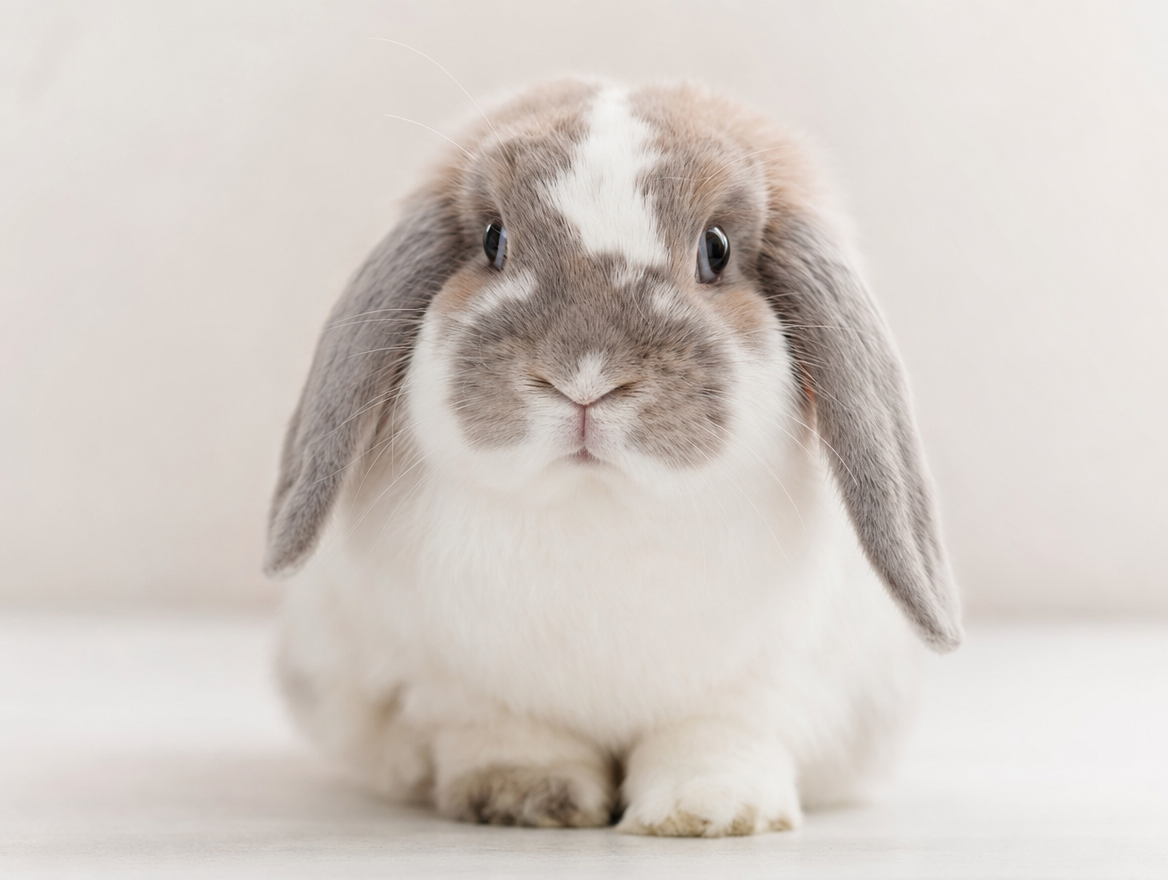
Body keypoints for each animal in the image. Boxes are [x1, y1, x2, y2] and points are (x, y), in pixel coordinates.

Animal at [264, 78, 963, 837]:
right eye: (492, 239)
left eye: (716, 249)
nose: (585, 376)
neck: (595, 505)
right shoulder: (463, 681)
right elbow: (503, 733)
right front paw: (526, 797)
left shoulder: (760, 681)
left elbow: (717, 736)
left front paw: (708, 813)